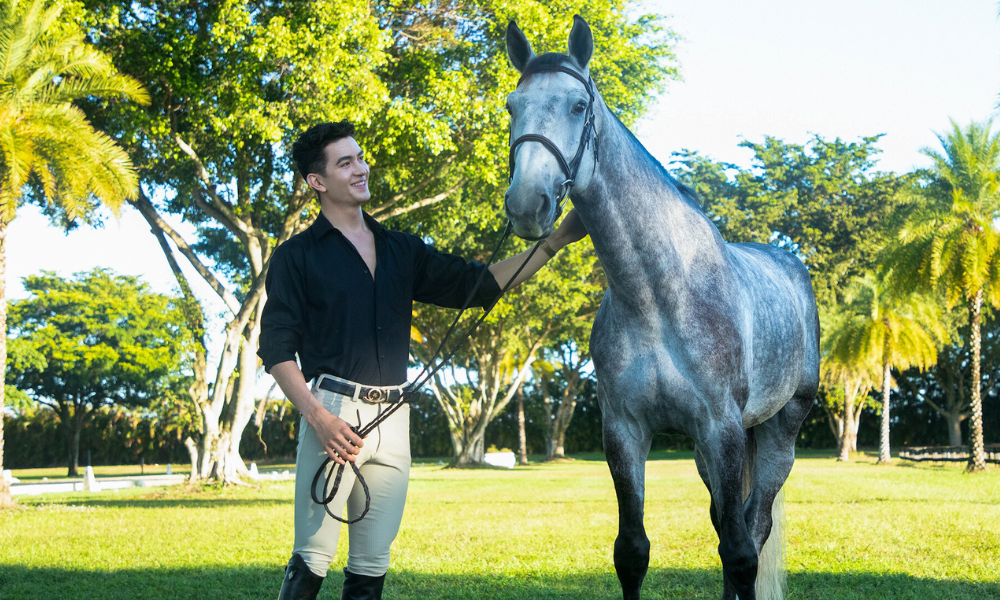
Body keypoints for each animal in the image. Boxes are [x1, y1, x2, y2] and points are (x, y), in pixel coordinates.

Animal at [504, 15, 816, 600]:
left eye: (578, 106)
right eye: (513, 106)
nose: (526, 204)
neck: (657, 295)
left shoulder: (722, 428)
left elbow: (741, 552)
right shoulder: (626, 432)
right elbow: (633, 551)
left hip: (779, 433)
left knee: (753, 528)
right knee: (726, 522)